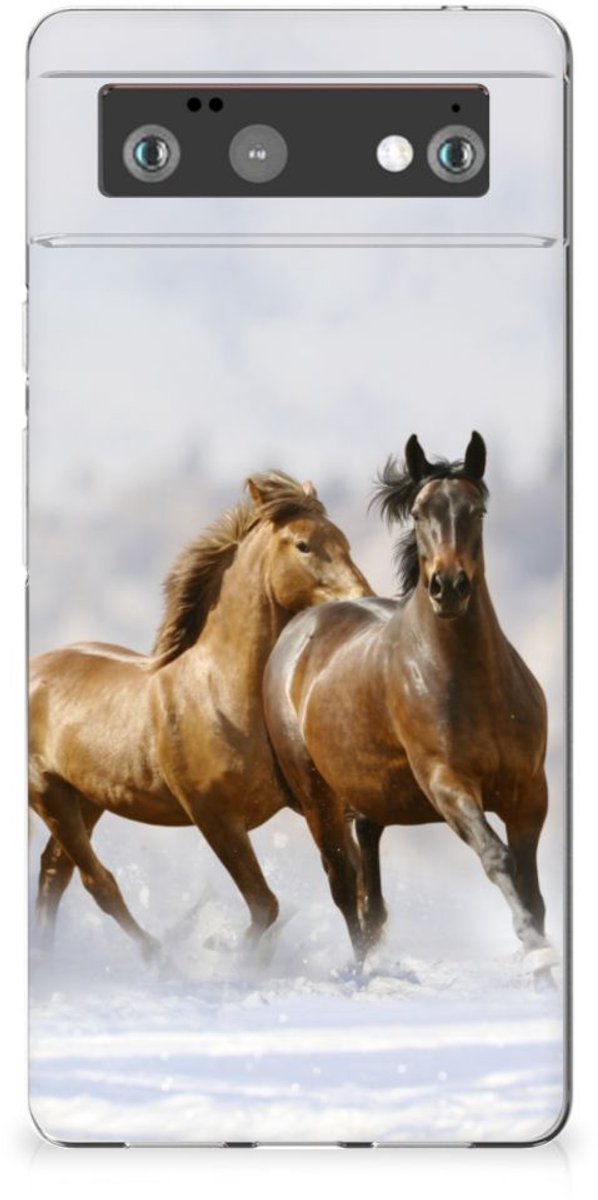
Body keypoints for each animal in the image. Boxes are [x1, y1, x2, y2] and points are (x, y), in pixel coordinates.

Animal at [29, 471, 372, 959]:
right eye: (304, 545)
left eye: (344, 540)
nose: (364, 599)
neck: (221, 695)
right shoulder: (215, 817)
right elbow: (265, 905)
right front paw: (228, 954)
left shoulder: (313, 804)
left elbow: (348, 885)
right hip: (48, 794)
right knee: (98, 883)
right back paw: (158, 957)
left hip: (86, 799)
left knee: (54, 873)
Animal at [263, 434, 551, 971]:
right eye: (418, 513)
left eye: (477, 509)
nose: (448, 587)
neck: (473, 683)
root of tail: (299, 629)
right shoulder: (447, 783)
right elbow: (497, 856)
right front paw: (533, 945)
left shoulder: (529, 792)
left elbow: (530, 884)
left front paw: (540, 946)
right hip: (318, 799)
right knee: (343, 885)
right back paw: (361, 969)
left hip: (369, 796)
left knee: (370, 890)